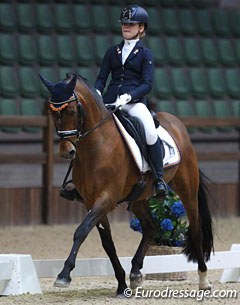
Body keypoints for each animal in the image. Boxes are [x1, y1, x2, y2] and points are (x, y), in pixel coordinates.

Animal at [39, 72, 214, 294]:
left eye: (71, 110)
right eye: (52, 113)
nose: (66, 152)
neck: (96, 146)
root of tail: (177, 123)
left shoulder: (107, 198)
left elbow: (81, 230)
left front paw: (64, 274)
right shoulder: (91, 201)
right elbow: (107, 243)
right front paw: (122, 284)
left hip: (187, 189)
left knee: (196, 230)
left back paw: (204, 280)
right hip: (139, 198)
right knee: (150, 228)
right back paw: (136, 273)